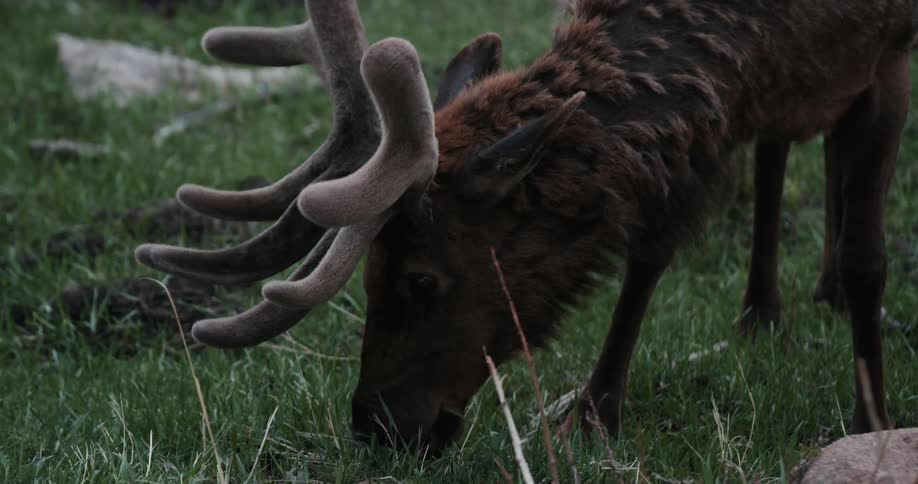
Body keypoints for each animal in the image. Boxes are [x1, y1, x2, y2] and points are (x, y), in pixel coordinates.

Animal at [135, 0, 916, 452]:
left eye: (423, 279)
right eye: (371, 273)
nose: (374, 426)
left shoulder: (889, 52)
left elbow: (869, 258)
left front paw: (871, 419)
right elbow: (649, 248)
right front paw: (595, 414)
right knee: (781, 143)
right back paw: (767, 307)